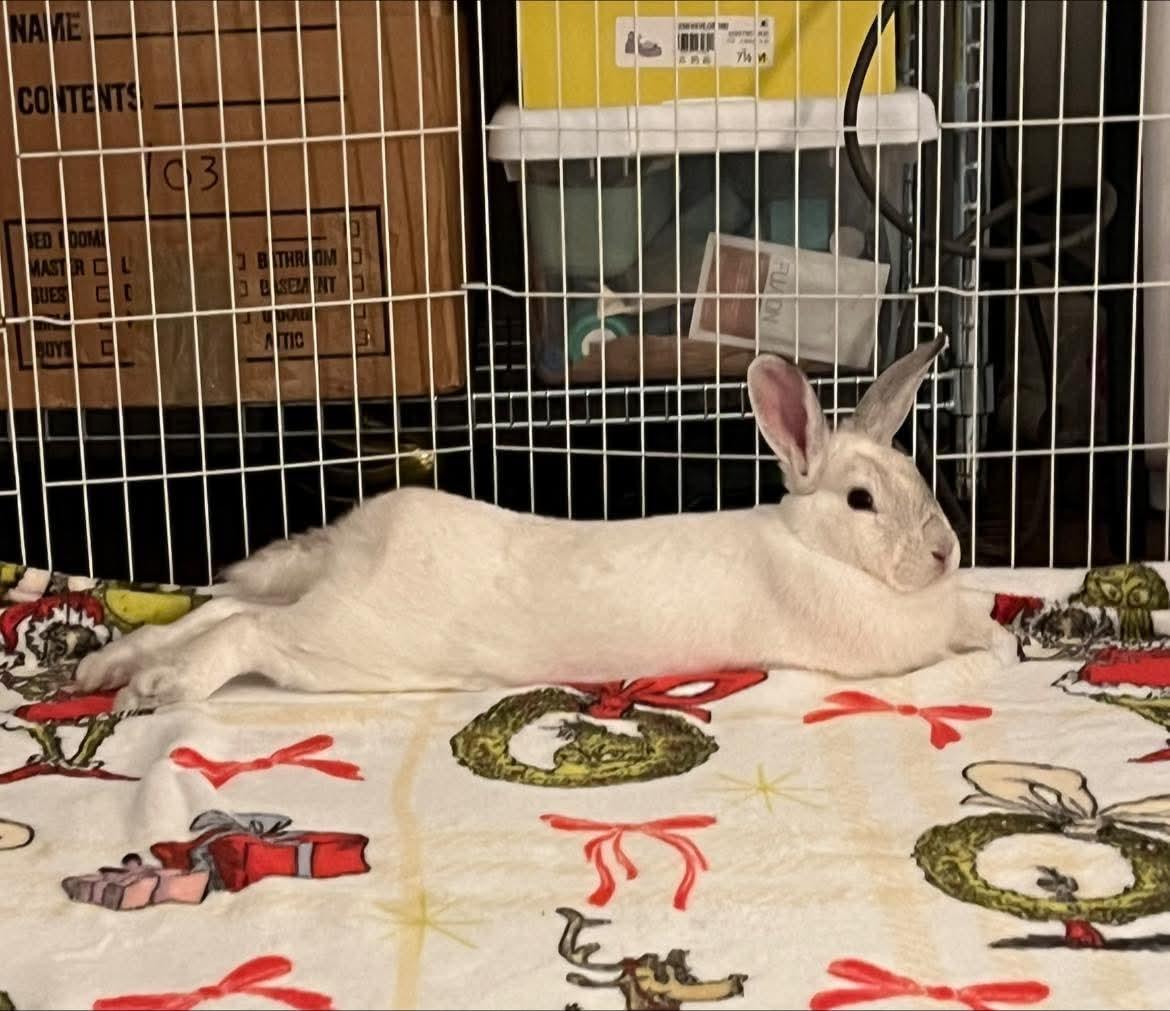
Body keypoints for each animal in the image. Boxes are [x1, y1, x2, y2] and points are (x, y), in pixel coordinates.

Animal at [74, 335, 1018, 712]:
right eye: (861, 501)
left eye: (917, 476)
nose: (947, 552)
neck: (813, 547)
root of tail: (357, 544)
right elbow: (969, 645)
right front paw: (994, 645)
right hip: (353, 645)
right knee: (251, 635)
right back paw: (159, 687)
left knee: (225, 606)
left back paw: (109, 663)